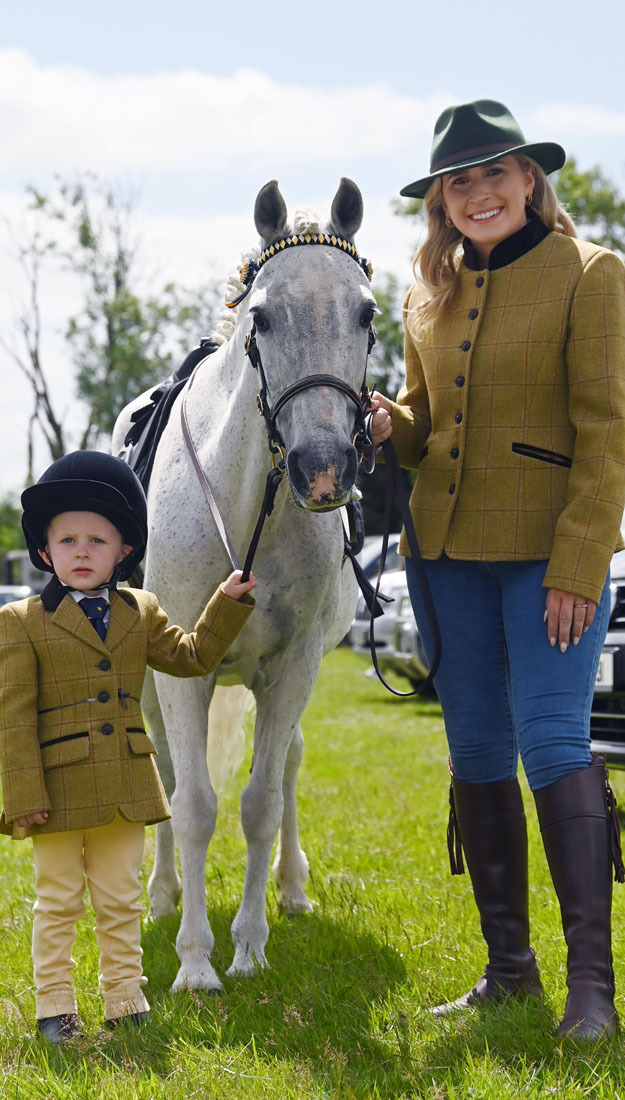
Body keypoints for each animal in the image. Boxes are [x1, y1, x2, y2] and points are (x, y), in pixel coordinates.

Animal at [112, 178, 376, 990]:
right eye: (262, 316)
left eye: (367, 314)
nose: (322, 470)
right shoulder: (179, 672)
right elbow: (191, 803)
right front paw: (195, 960)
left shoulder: (294, 667)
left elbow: (259, 801)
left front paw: (250, 945)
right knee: (168, 773)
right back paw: (163, 895)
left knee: (284, 765)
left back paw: (289, 888)